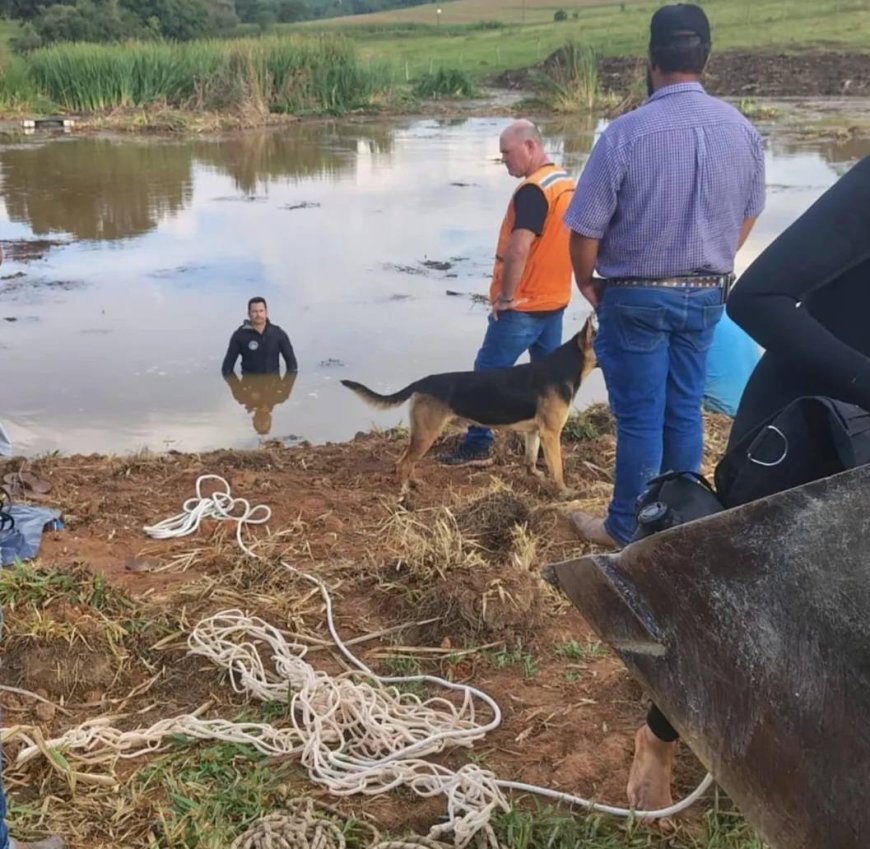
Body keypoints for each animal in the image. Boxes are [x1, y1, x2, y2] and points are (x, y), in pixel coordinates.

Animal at [342, 316, 600, 490]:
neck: (564, 367)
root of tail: (422, 382)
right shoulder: (551, 433)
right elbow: (558, 467)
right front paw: (564, 491)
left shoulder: (535, 432)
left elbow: (531, 459)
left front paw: (535, 476)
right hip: (427, 433)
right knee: (404, 463)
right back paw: (406, 492)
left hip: (421, 434)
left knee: (403, 462)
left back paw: (414, 482)